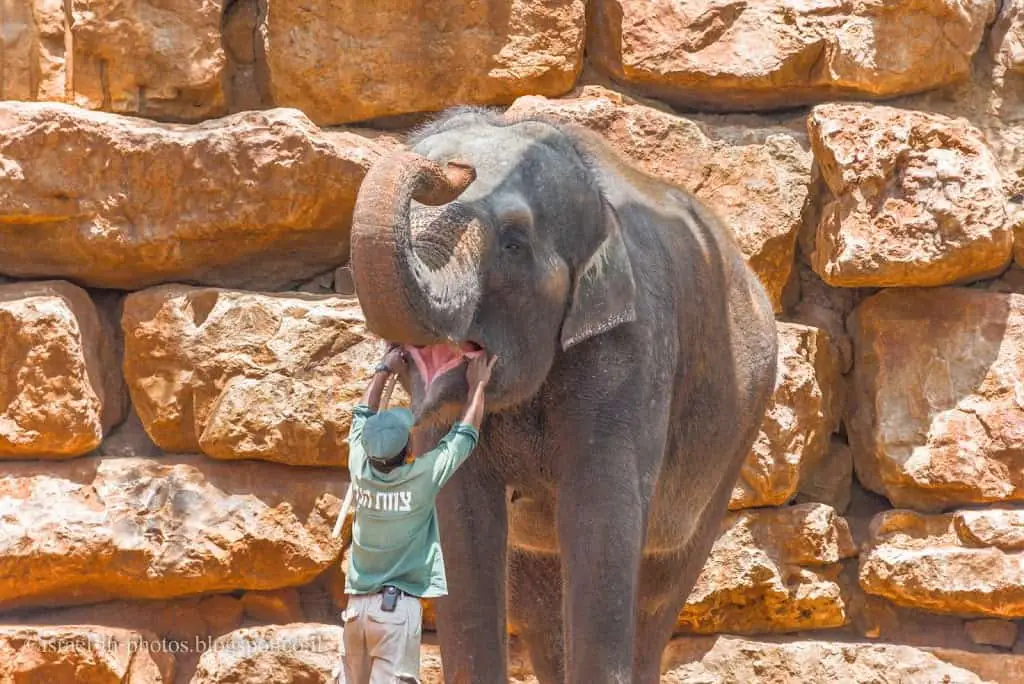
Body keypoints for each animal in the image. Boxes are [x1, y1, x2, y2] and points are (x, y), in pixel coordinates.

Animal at [346, 108, 774, 684]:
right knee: (539, 603)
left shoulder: (632, 349)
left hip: (737, 432)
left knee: (660, 588)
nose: (448, 168)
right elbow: (461, 519)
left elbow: (601, 518)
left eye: (512, 243)